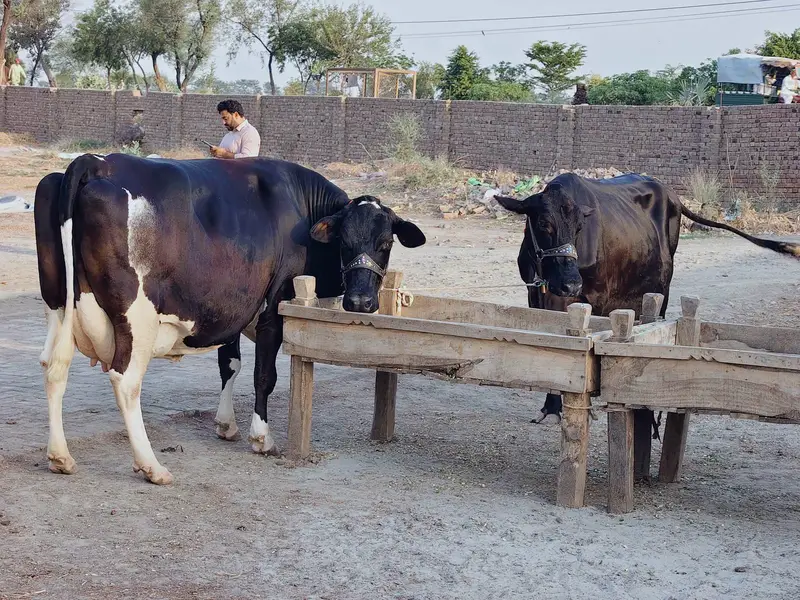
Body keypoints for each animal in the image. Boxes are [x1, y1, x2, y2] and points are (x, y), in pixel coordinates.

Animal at [34, 153, 426, 484]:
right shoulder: (273, 308)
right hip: (136, 318)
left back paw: (60, 457)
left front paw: (225, 425)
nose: (360, 301)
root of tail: (95, 162)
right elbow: (263, 375)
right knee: (126, 381)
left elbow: (230, 363)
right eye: (344, 241)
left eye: (386, 243)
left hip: (58, 305)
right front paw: (261, 437)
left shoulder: (231, 307)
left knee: (54, 367)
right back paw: (152, 466)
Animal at [494, 172, 799, 430]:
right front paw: (551, 407)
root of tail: (672, 195)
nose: (571, 283)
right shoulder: (535, 294)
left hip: (663, 286)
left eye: (580, 227)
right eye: (544, 224)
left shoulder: (596, 295)